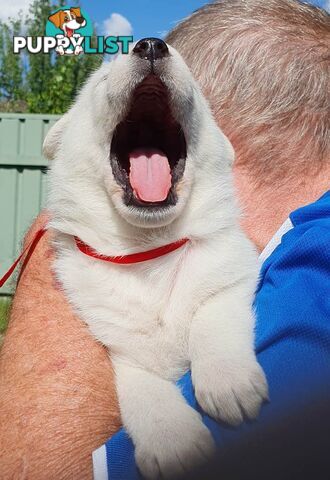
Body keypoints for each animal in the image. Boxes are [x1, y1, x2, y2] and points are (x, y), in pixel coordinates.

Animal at [43, 38, 268, 480]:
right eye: (101, 80)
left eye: (194, 82)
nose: (150, 44)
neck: (148, 249)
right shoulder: (113, 340)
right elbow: (136, 379)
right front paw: (171, 439)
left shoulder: (234, 267)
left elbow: (212, 312)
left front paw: (227, 380)